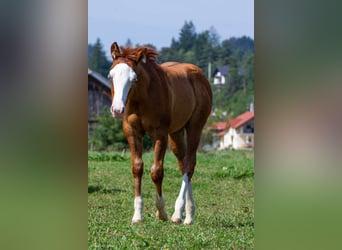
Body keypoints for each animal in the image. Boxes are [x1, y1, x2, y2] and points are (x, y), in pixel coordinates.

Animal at [109, 42, 211, 224]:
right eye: (110, 76)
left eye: (133, 79)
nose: (118, 110)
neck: (141, 99)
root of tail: (200, 75)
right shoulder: (132, 132)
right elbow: (137, 168)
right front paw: (137, 215)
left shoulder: (160, 134)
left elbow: (156, 171)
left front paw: (161, 212)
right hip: (176, 132)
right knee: (183, 163)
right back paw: (188, 213)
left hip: (195, 126)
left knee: (190, 164)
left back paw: (179, 212)